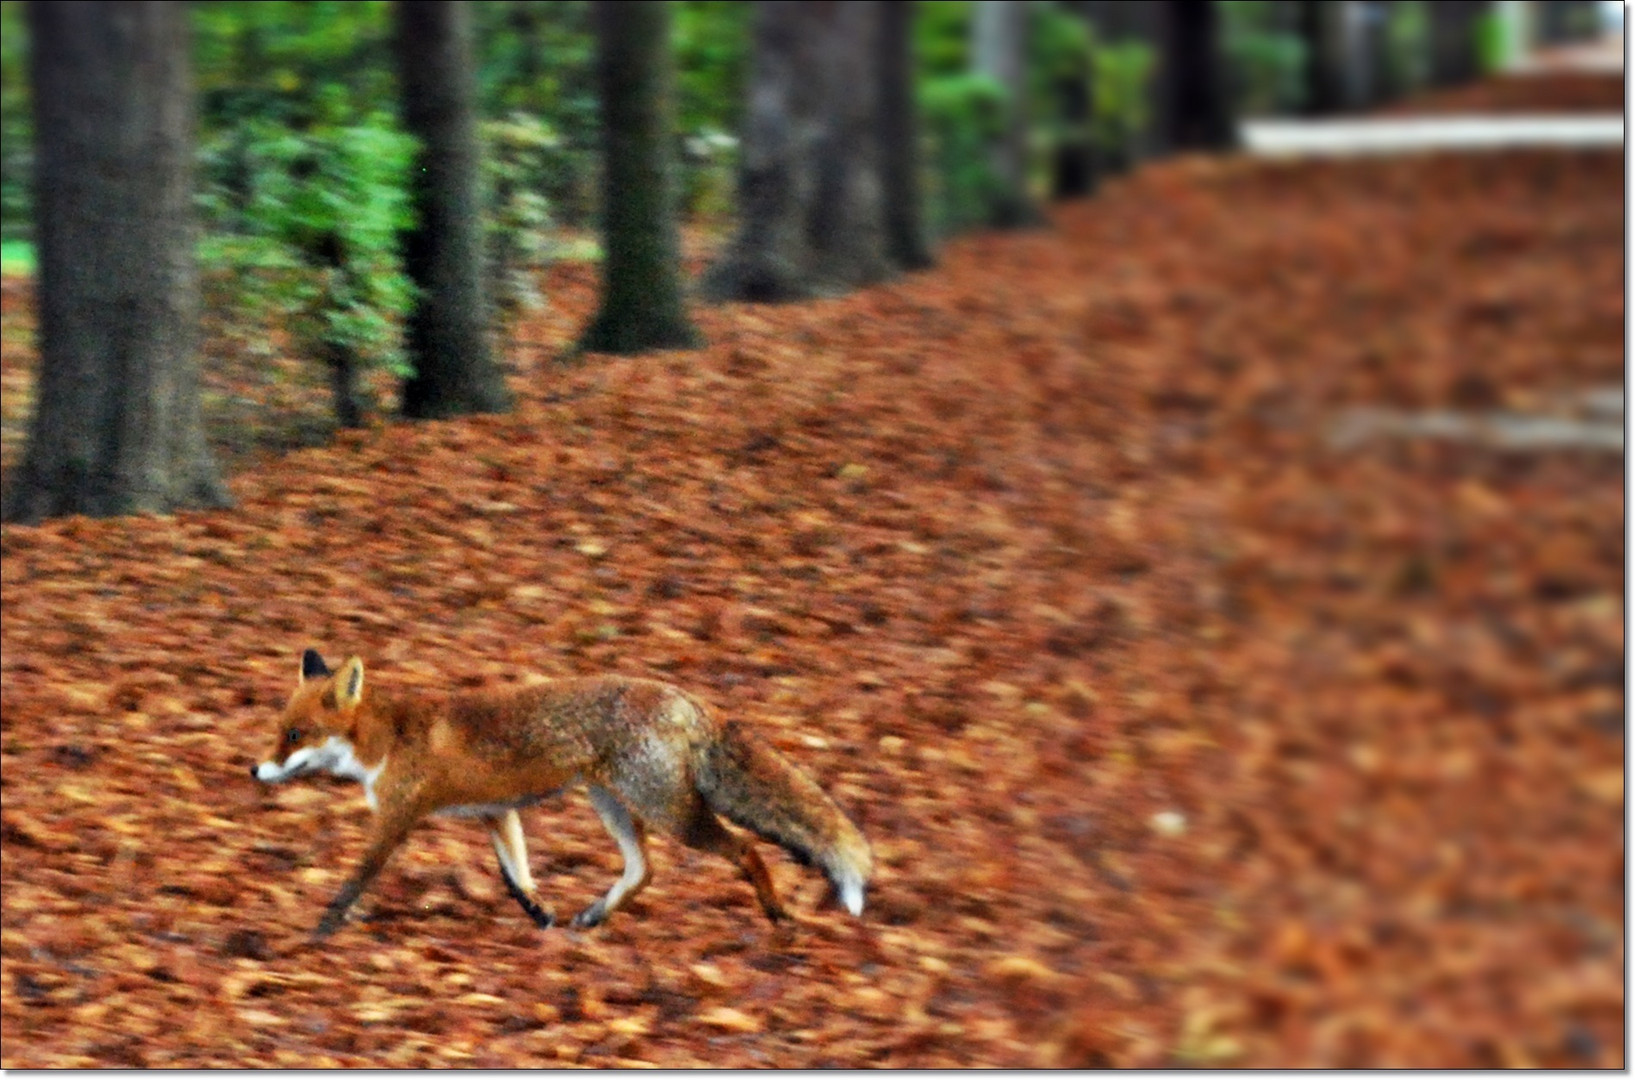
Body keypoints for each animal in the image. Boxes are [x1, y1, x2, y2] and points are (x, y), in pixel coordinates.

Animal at [248, 650, 869, 934]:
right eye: (278, 730)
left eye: (295, 735)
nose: (254, 770)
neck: (388, 740)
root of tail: (687, 699)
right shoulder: (497, 814)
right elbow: (516, 876)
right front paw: (541, 916)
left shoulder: (397, 819)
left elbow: (355, 879)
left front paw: (320, 932)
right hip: (611, 803)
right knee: (643, 870)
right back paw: (592, 917)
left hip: (667, 811)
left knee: (746, 848)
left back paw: (776, 914)